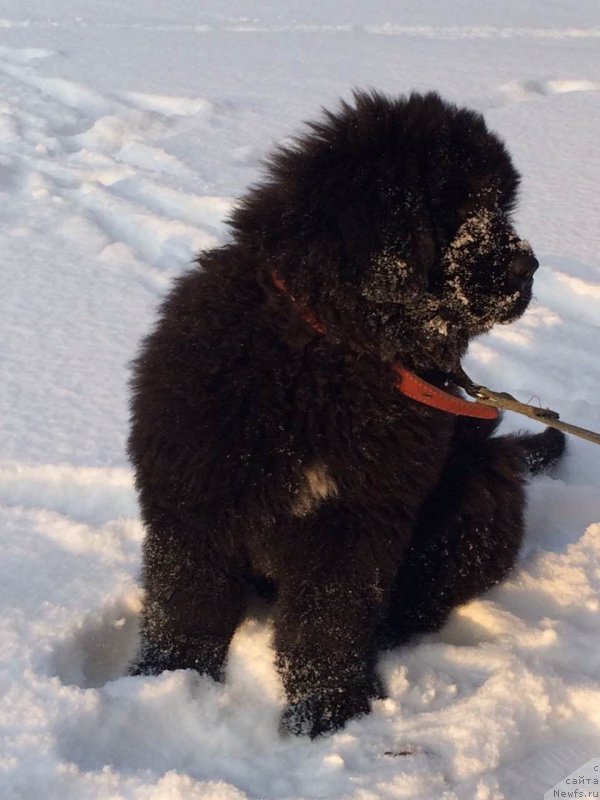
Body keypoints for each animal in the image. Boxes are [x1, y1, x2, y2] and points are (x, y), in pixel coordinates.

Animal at [129, 92, 564, 736]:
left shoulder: (354, 519)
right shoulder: (196, 492)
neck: (329, 346)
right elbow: (187, 601)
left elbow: (329, 618)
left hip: (482, 491)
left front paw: (327, 710)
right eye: (459, 202)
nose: (528, 267)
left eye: (499, 204)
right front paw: (164, 680)